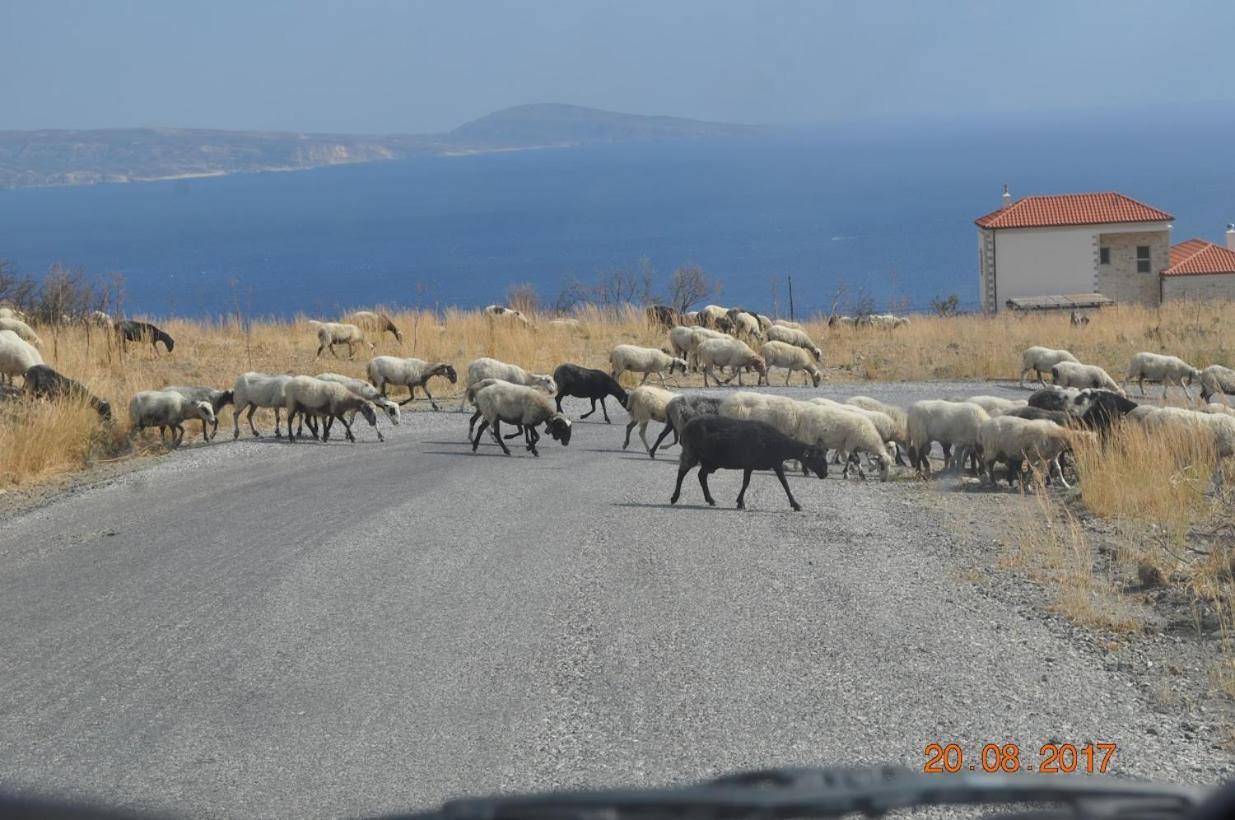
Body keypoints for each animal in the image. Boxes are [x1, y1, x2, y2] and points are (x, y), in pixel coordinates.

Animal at [671, 417, 824, 513]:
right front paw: (740, 503)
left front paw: (796, 504)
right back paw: (674, 497)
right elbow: (746, 483)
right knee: (682, 472)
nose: (825, 474)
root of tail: (686, 427)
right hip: (692, 451)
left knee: (701, 475)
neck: (777, 444)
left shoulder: (775, 464)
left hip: (709, 461)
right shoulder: (751, 464)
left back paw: (710, 500)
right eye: (816, 458)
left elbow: (784, 484)